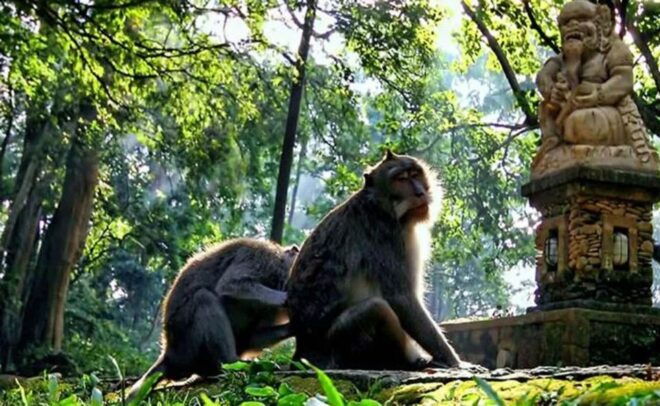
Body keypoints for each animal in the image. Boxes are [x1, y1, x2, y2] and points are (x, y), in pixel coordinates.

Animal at [128, 238, 298, 397]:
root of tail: (170, 354)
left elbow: (250, 337)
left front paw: (292, 328)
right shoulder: (261, 257)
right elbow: (231, 285)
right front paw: (284, 297)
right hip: (187, 342)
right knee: (204, 298)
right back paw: (231, 363)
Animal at [286, 151, 472, 370]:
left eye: (415, 174)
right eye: (400, 179)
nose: (420, 192)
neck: (383, 206)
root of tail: (301, 354)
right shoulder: (385, 234)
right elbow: (401, 298)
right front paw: (454, 361)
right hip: (339, 348)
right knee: (376, 309)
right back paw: (405, 363)